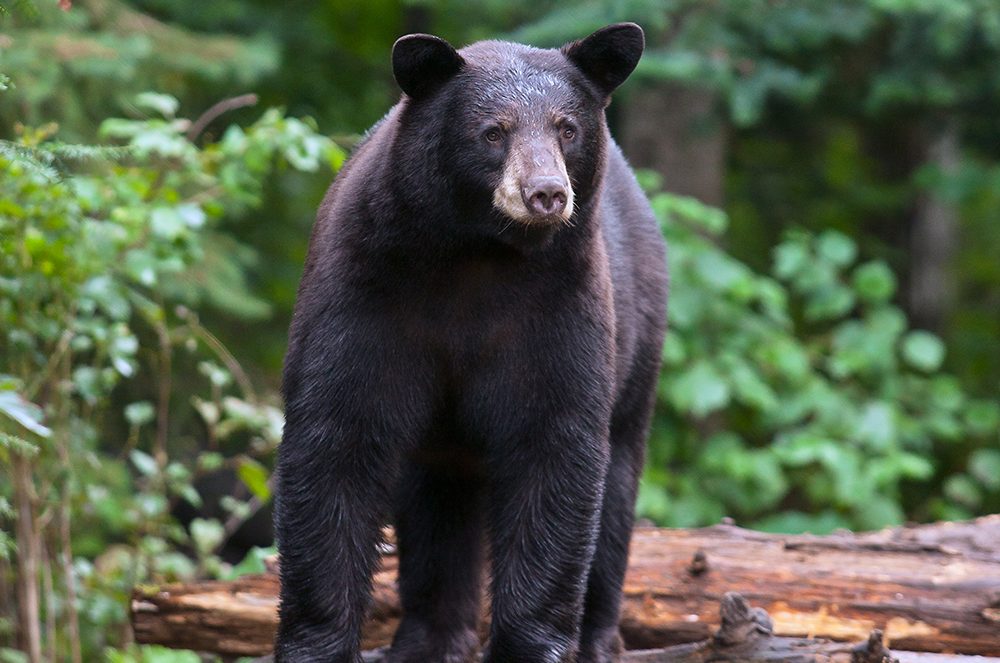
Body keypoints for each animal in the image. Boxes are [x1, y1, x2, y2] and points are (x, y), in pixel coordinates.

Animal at [274, 22, 668, 663]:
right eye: (493, 131)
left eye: (567, 128)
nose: (546, 193)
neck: (476, 255)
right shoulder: (366, 294)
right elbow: (336, 442)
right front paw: (317, 643)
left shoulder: (559, 308)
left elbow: (553, 452)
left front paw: (530, 645)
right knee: (437, 507)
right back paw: (429, 637)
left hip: (637, 357)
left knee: (615, 495)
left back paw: (597, 638)